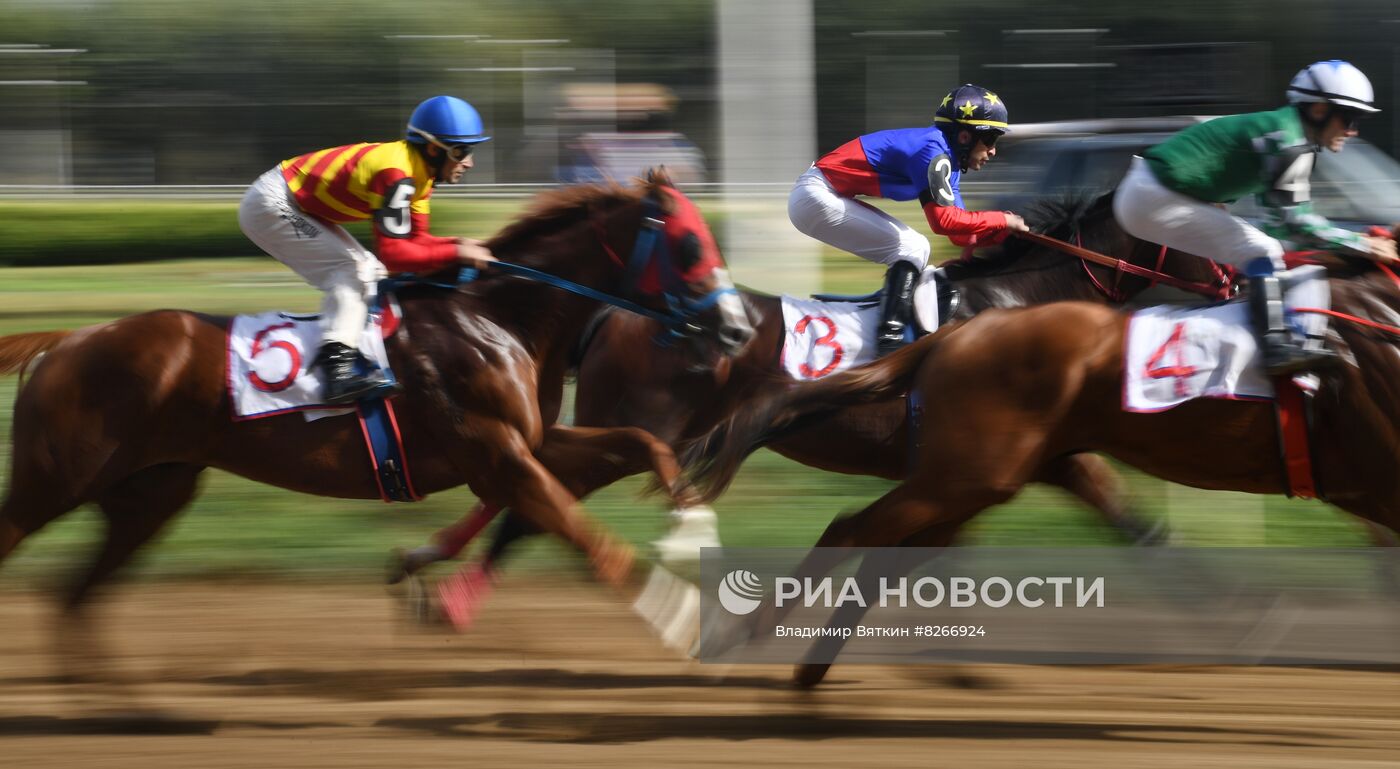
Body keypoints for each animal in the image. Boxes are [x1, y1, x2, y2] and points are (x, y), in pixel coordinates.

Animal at [0, 170, 756, 638]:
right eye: (690, 243)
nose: (740, 329)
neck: (499, 318)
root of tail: (66, 340)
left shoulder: (530, 441)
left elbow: (642, 442)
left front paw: (692, 527)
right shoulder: (499, 454)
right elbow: (589, 540)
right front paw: (683, 616)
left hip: (151, 491)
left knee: (78, 597)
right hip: (54, 481)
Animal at [400, 190, 1232, 582]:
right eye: (1203, 225)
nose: (1239, 276)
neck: (1018, 303)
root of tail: (613, 311)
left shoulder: (1037, 455)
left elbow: (1134, 524)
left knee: (523, 486)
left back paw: (427, 560)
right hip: (643, 425)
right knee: (529, 500)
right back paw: (443, 589)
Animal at [686, 257, 1400, 683]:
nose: (1226, 282)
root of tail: (953, 336)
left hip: (972, 476)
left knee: (876, 541)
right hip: (967, 473)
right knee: (852, 530)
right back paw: (743, 635)